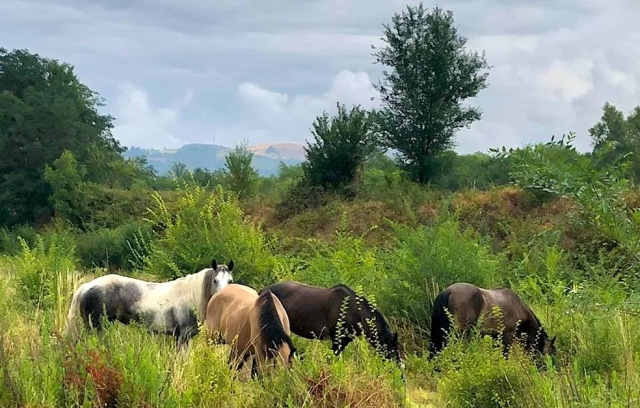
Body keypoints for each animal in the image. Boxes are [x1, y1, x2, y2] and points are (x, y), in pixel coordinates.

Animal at [64, 258, 235, 348]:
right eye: (215, 280)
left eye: (230, 281)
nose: (223, 296)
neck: (190, 296)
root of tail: (85, 287)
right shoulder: (183, 337)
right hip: (95, 327)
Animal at [259, 281, 404, 367]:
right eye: (392, 349)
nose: (400, 372)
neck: (352, 310)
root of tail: (264, 290)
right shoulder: (336, 341)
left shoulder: (343, 342)